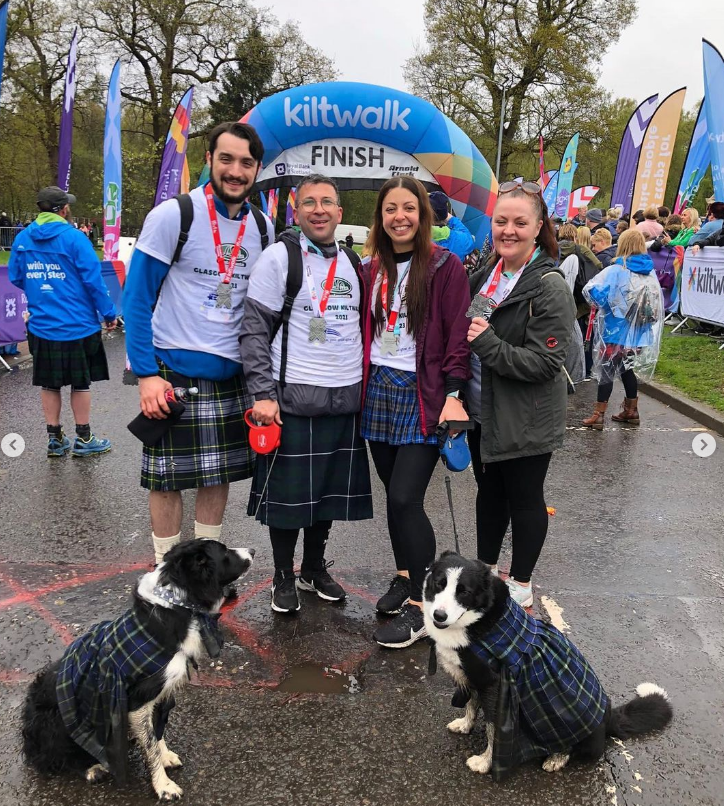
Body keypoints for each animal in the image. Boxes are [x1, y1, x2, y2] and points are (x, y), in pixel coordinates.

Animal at [22, 544, 253, 800]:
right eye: (225, 553)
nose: (252, 550)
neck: (177, 604)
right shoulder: (137, 700)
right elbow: (151, 744)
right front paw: (163, 785)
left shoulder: (160, 692)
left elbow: (157, 731)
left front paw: (165, 756)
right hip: (53, 721)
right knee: (52, 758)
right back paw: (92, 767)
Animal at [424, 552, 672, 780]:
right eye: (439, 584)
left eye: (464, 592)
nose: (439, 615)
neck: (477, 620)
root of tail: (609, 715)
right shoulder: (474, 679)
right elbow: (472, 705)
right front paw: (465, 725)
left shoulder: (495, 687)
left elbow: (493, 729)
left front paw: (485, 762)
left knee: (577, 748)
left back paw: (557, 757)